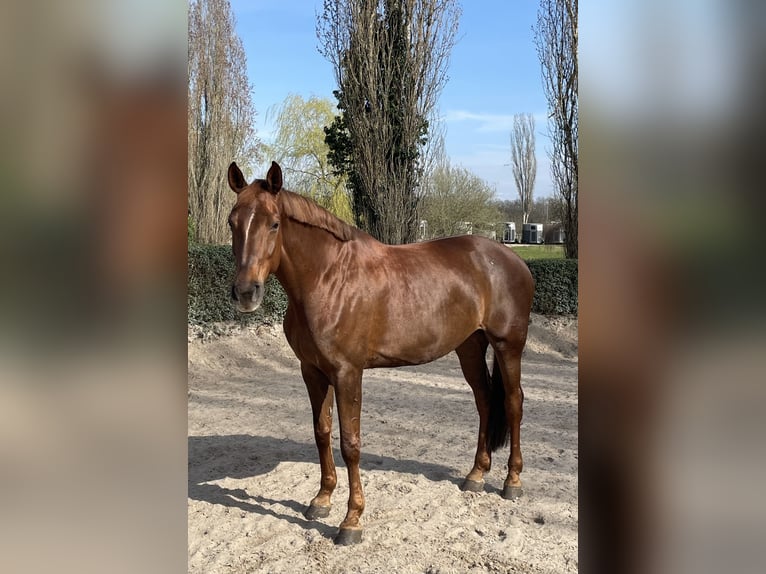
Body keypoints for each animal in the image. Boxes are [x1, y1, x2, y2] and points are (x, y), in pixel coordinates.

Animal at [230, 161, 536, 544]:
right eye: (232, 222)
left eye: (273, 223)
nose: (245, 292)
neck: (329, 279)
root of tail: (511, 258)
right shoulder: (312, 371)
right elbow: (321, 432)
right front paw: (321, 499)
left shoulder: (348, 373)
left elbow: (350, 444)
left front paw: (351, 521)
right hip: (470, 345)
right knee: (484, 401)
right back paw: (476, 475)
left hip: (509, 346)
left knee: (512, 403)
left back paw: (513, 481)